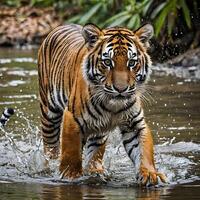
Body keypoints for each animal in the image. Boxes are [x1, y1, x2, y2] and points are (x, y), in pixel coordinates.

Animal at [38, 23, 167, 186]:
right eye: (107, 62)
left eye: (131, 63)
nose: (121, 89)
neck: (112, 106)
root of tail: (62, 25)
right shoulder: (72, 118)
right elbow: (71, 151)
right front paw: (70, 176)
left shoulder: (135, 123)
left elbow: (144, 150)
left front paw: (150, 174)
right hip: (49, 113)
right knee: (50, 147)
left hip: (98, 130)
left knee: (94, 151)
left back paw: (95, 171)